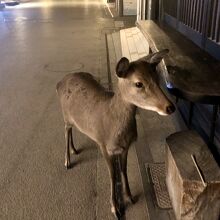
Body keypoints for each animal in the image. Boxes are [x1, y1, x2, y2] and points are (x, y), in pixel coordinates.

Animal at [56, 49, 175, 219]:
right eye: (138, 83)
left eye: (157, 78)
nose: (170, 107)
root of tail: (59, 83)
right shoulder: (103, 144)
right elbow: (112, 175)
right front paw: (115, 209)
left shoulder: (126, 147)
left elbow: (123, 170)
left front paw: (130, 197)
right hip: (65, 115)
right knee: (66, 131)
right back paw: (67, 161)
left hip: (73, 119)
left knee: (72, 129)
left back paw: (74, 150)